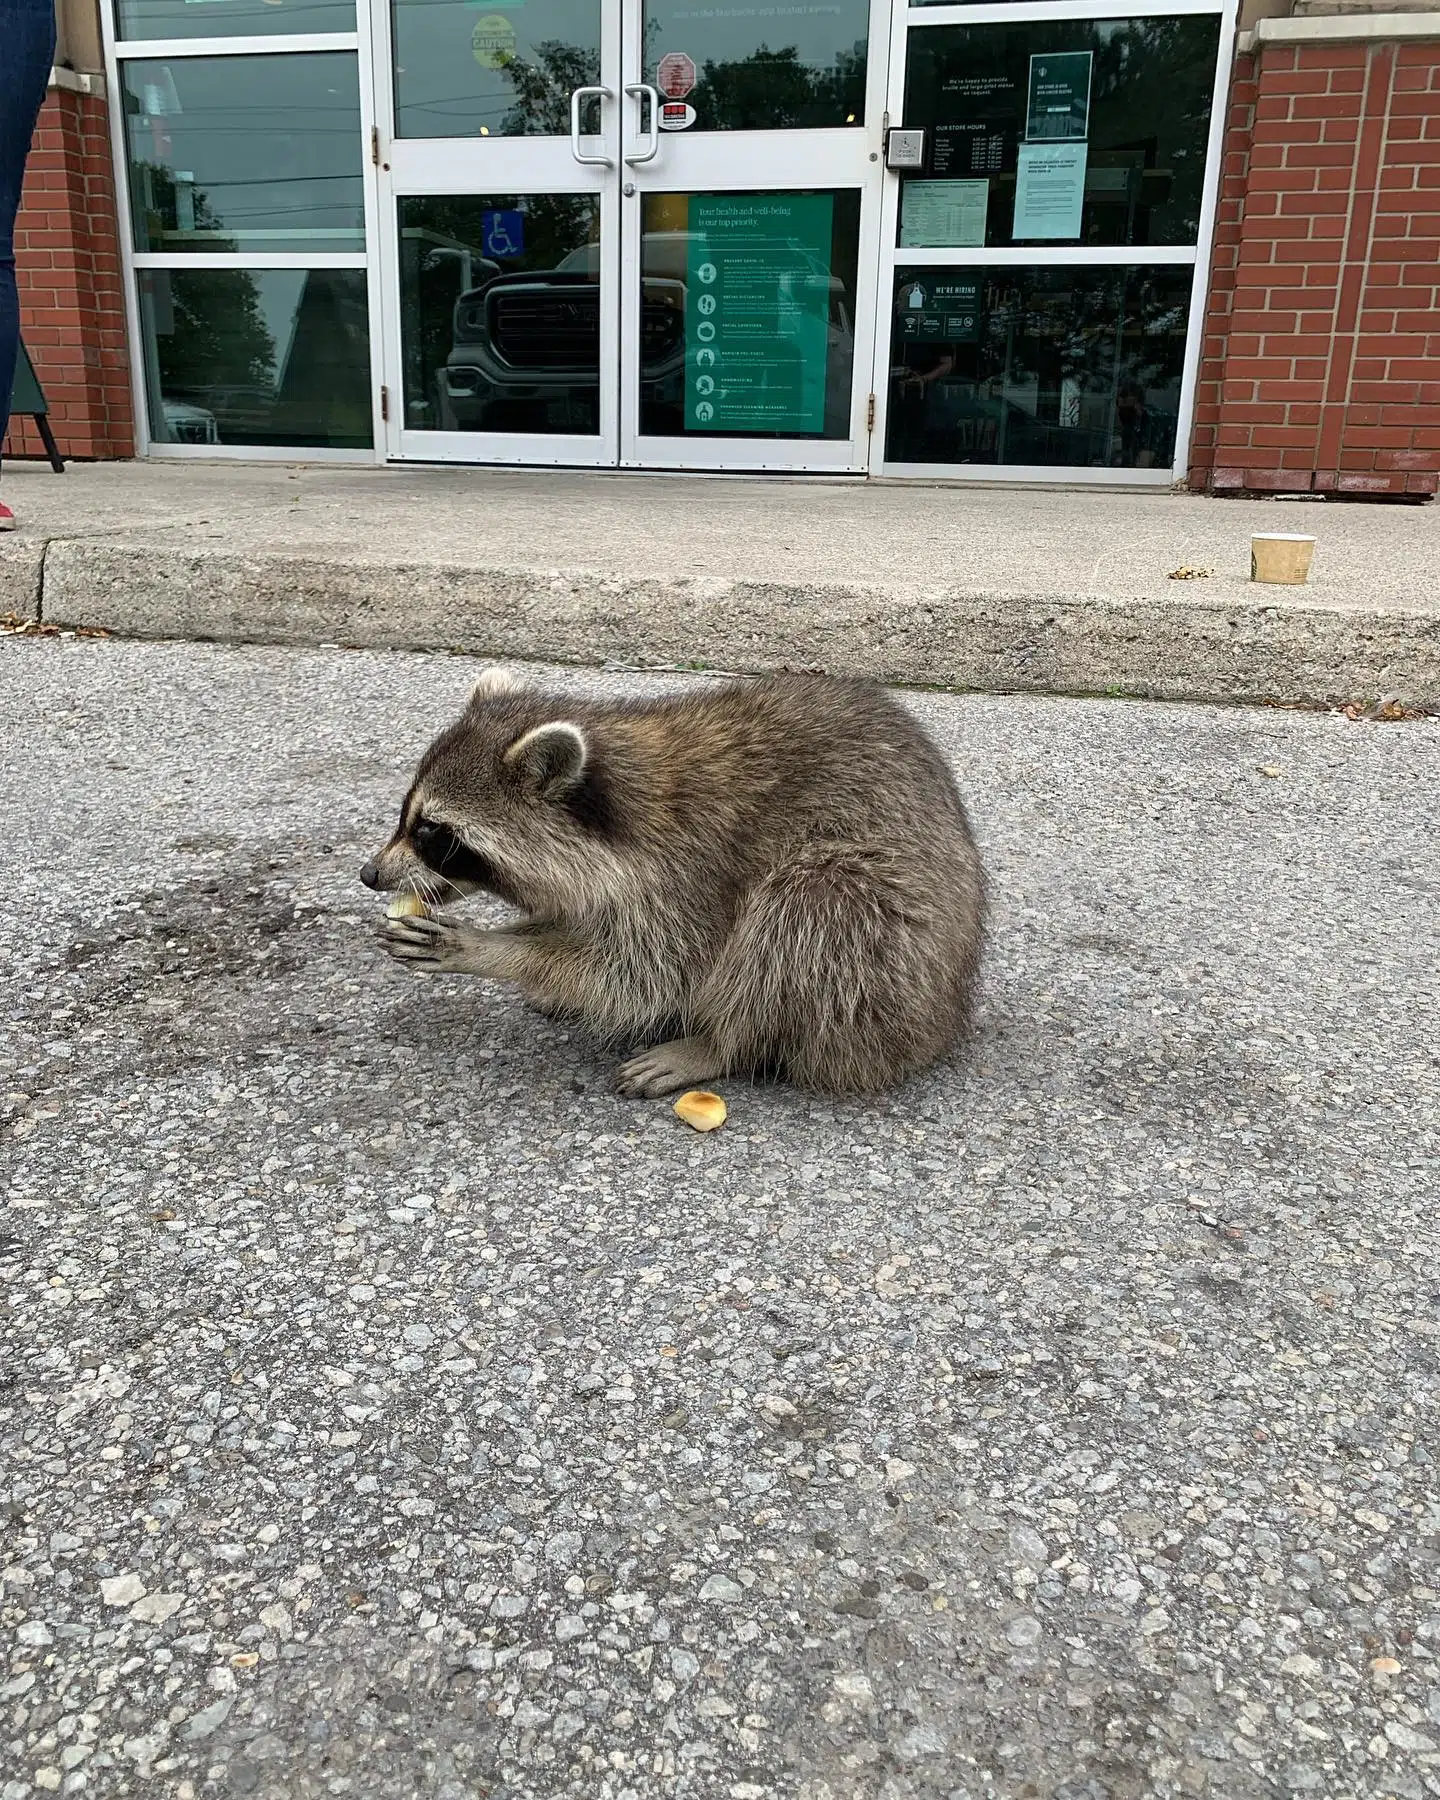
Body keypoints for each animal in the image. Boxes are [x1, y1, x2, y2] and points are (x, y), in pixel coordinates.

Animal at [360, 666, 986, 1097]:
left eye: (433, 833)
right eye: (406, 814)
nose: (369, 874)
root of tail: (944, 1018)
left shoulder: (692, 872)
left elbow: (645, 973)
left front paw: (492, 951)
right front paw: (534, 947)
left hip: (885, 949)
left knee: (805, 912)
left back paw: (723, 1042)